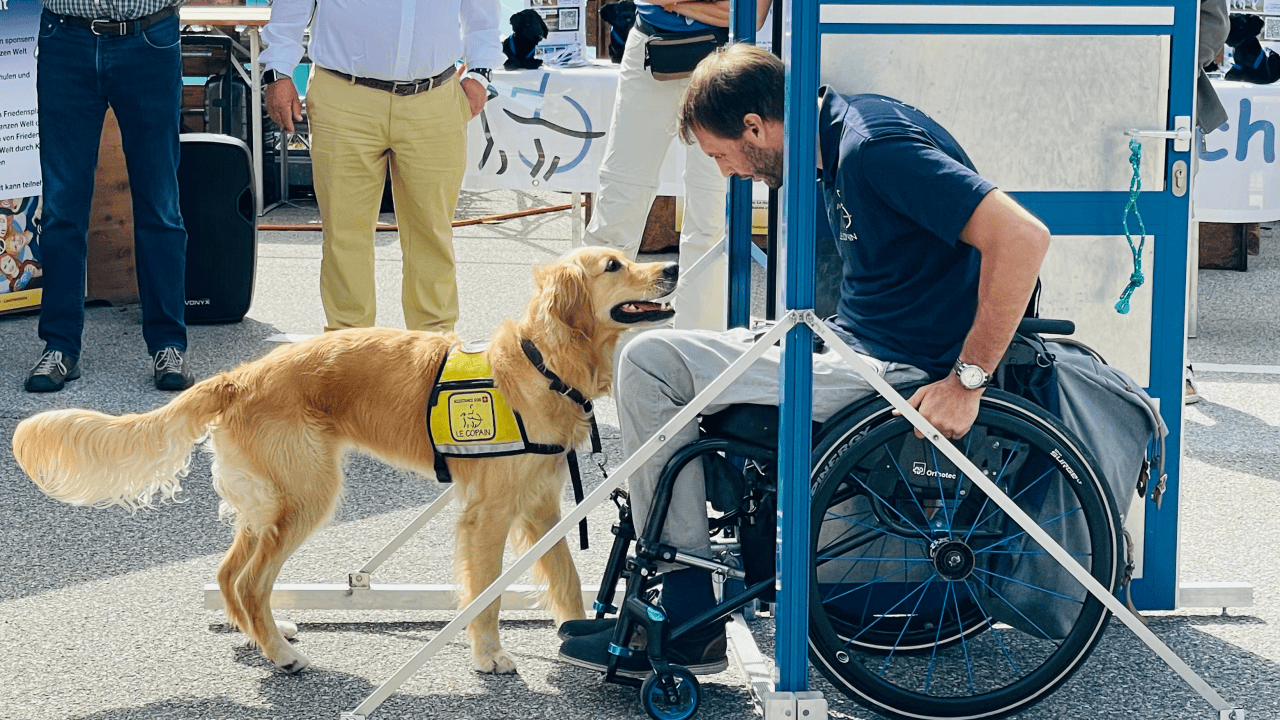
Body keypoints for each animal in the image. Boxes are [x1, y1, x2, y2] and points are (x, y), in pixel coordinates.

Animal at [10, 244, 680, 671]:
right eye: (614, 265)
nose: (672, 267)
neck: (544, 365)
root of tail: (239, 376)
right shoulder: (487, 515)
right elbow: (485, 595)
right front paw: (489, 656)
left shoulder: (542, 506)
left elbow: (566, 583)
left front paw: (581, 638)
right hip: (308, 495)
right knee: (250, 581)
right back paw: (282, 655)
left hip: (270, 502)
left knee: (230, 576)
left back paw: (266, 634)